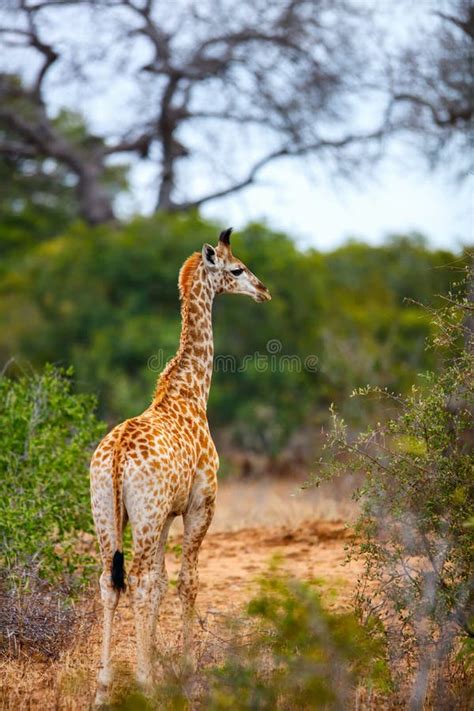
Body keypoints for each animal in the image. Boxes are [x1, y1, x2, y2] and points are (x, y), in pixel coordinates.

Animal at [90, 227, 272, 700]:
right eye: (237, 269)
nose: (263, 290)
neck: (191, 392)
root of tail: (116, 457)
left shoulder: (168, 513)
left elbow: (160, 582)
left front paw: (157, 663)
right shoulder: (200, 505)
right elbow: (187, 582)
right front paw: (185, 670)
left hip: (107, 513)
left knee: (110, 581)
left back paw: (103, 686)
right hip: (146, 516)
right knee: (135, 581)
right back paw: (141, 682)